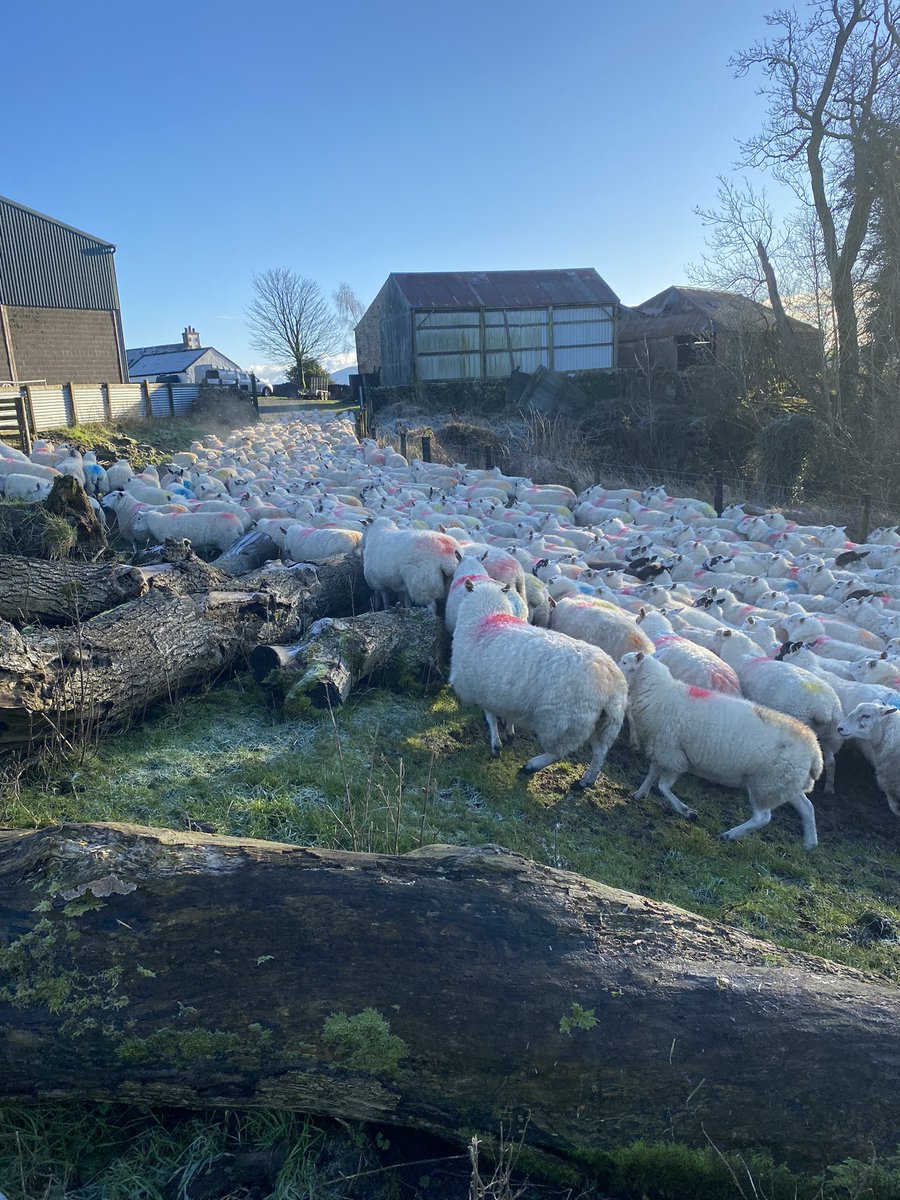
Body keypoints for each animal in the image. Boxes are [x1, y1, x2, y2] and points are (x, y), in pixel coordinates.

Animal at [450, 579, 627, 788]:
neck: (486, 616)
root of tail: (612, 683)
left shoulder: (482, 690)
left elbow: (490, 718)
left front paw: (496, 744)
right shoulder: (503, 693)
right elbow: (506, 716)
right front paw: (509, 733)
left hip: (563, 723)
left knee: (557, 753)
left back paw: (531, 766)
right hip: (604, 725)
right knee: (600, 753)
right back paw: (585, 781)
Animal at [619, 651, 822, 849]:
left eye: (625, 662)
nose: (614, 664)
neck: (661, 694)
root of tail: (815, 751)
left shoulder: (674, 755)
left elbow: (663, 786)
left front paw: (686, 811)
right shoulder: (661, 748)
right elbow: (651, 774)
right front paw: (639, 794)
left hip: (766, 784)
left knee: (763, 818)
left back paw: (729, 835)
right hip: (785, 783)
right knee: (807, 808)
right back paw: (810, 843)